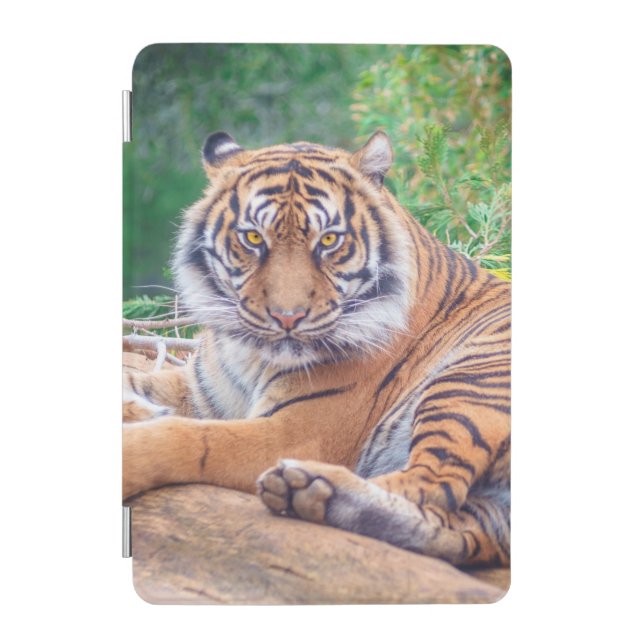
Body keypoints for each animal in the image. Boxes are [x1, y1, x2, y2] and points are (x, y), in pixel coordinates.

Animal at [123, 130, 511, 568]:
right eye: (253, 237)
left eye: (328, 241)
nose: (287, 317)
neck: (250, 354)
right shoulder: (201, 391)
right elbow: (133, 378)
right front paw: (137, 407)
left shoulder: (296, 432)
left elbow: (189, 438)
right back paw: (310, 493)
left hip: (469, 381)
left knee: (432, 485)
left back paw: (312, 483)